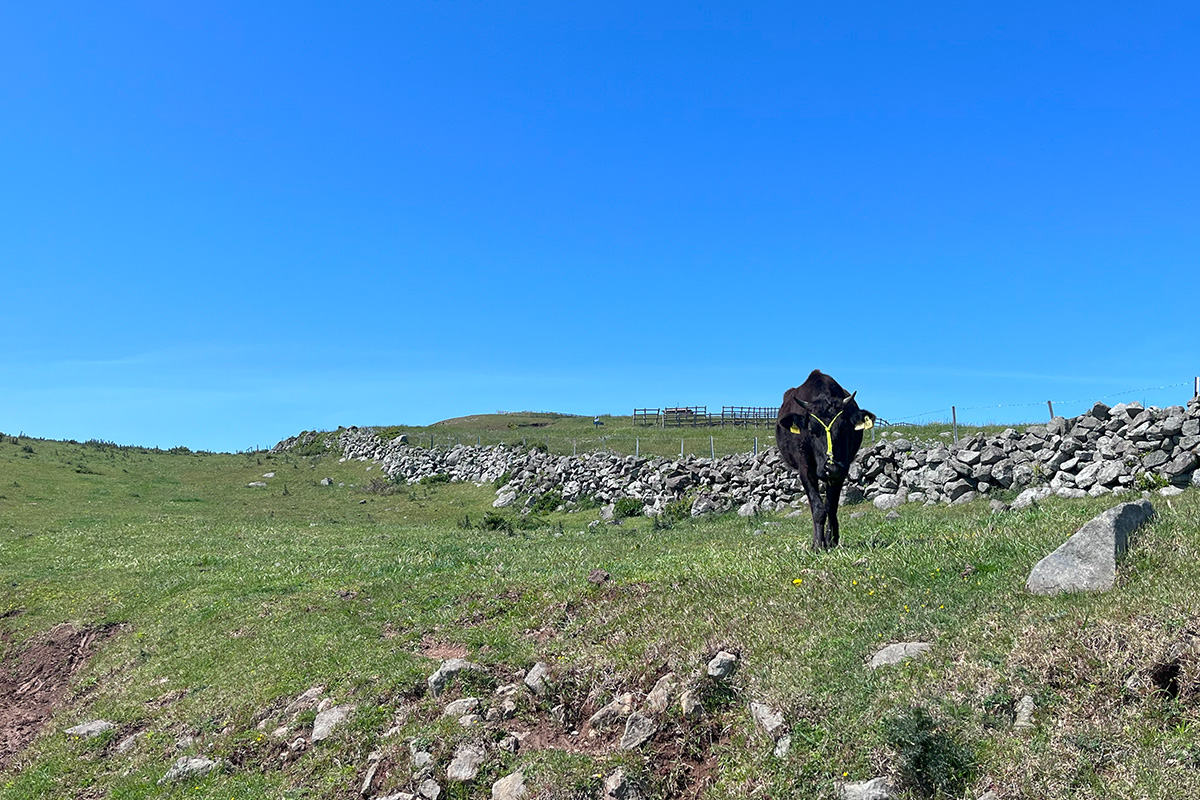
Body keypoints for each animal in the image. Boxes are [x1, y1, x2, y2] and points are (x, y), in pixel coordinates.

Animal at [772, 371, 878, 551]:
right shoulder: (805, 469)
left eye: (844, 428)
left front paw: (831, 540)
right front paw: (817, 544)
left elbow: (831, 506)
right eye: (811, 430)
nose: (831, 467)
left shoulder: (842, 470)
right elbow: (817, 507)